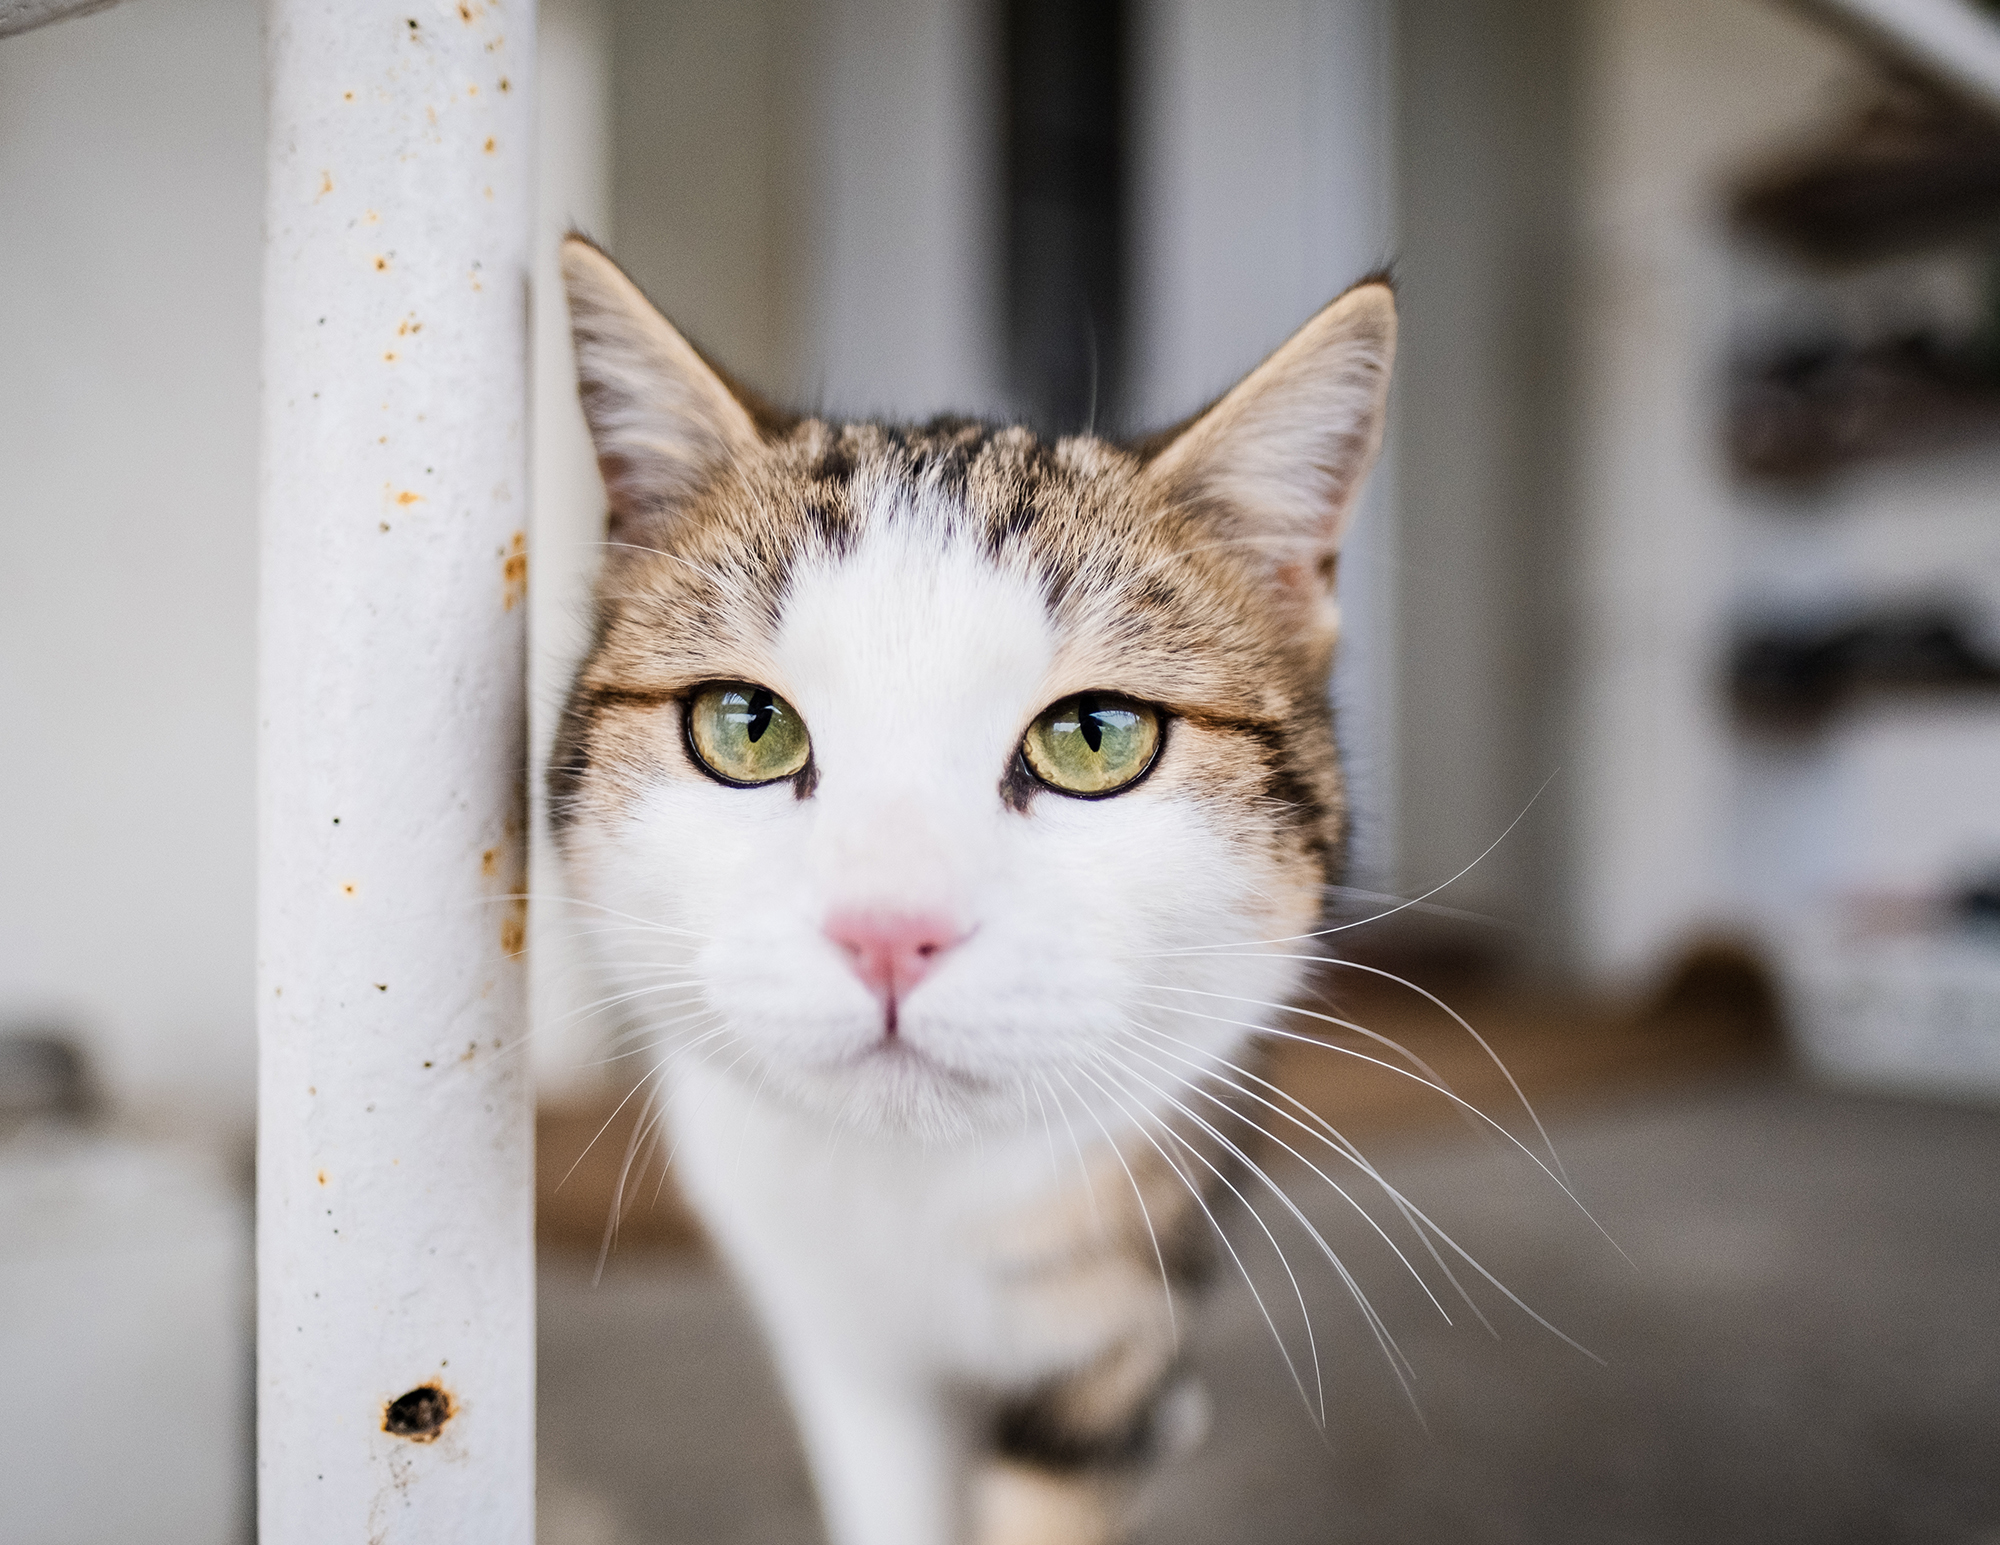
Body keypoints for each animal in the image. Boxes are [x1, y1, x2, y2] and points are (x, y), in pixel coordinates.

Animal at [548, 232, 1392, 1545]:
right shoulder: (839, 1341)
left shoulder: (1103, 1329)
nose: (891, 933)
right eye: (744, 726)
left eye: (1095, 738)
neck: (919, 1198)